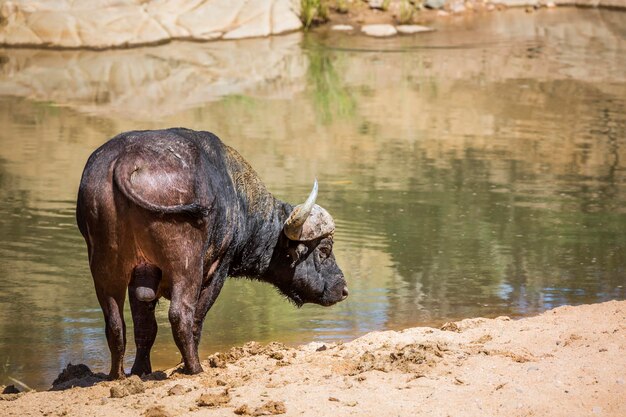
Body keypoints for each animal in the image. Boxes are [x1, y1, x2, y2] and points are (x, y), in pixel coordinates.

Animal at [75, 127, 346, 376]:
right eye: (324, 249)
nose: (343, 289)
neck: (239, 198)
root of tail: (128, 159)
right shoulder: (218, 270)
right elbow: (196, 319)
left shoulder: (139, 279)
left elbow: (145, 327)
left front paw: (142, 371)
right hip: (186, 266)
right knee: (181, 315)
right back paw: (195, 368)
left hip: (105, 268)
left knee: (115, 322)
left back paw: (117, 375)